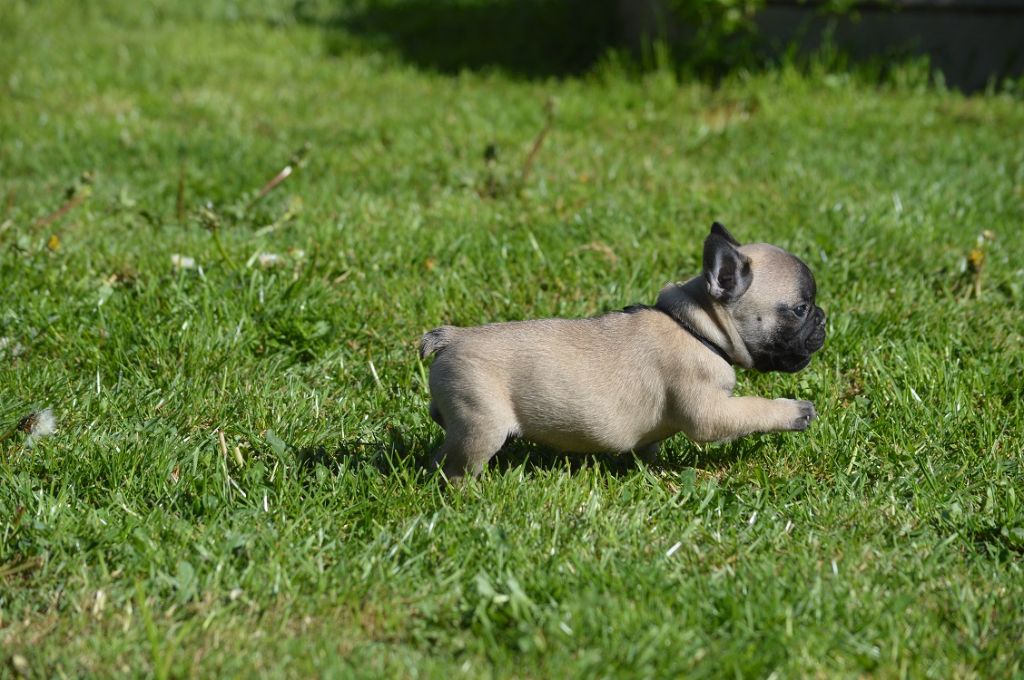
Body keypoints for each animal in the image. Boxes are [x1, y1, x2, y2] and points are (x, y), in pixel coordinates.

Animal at [420, 223, 826, 480]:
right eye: (800, 309)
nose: (823, 318)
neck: (697, 328)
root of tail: (453, 338)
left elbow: (650, 449)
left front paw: (655, 472)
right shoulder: (710, 411)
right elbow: (750, 410)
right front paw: (793, 411)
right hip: (483, 426)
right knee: (457, 468)